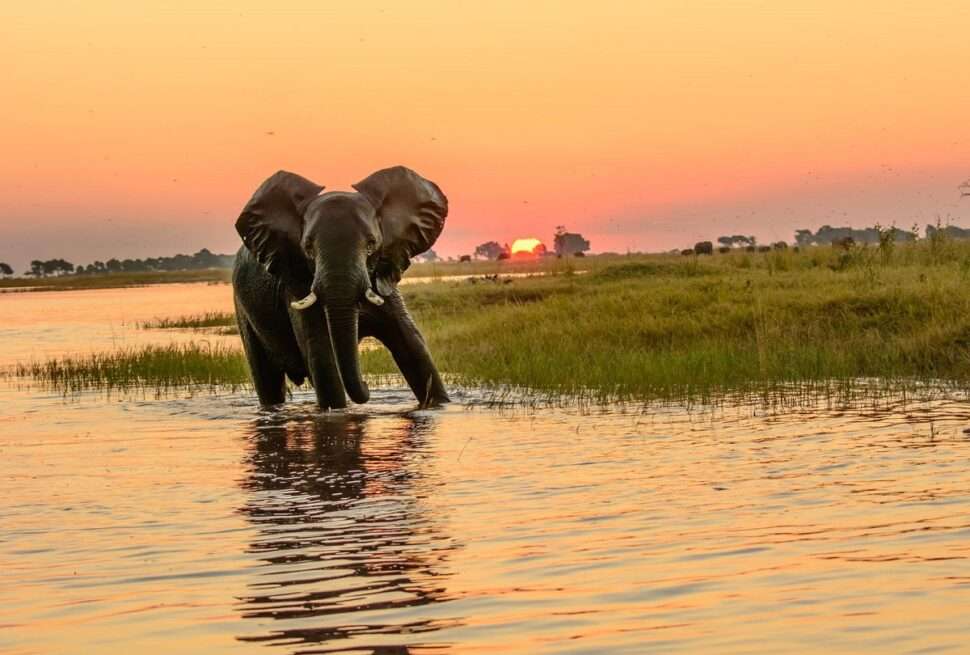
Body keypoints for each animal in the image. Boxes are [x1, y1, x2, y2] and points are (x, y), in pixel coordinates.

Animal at [233, 165, 448, 410]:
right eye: (308, 248)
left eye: (372, 244)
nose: (366, 385)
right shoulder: (297, 284)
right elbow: (322, 356)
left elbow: (412, 346)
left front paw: (439, 406)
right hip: (243, 310)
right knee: (267, 380)